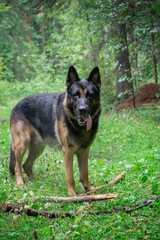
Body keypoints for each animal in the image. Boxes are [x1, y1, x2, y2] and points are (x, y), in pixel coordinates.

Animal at [10, 65, 102, 195]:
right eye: (76, 95)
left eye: (90, 95)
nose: (82, 109)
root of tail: (16, 105)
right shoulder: (67, 151)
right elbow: (70, 176)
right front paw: (72, 193)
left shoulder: (84, 151)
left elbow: (84, 173)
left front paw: (88, 189)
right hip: (21, 145)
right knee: (17, 166)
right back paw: (21, 184)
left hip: (38, 147)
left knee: (26, 165)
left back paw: (37, 183)